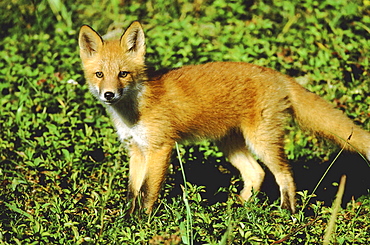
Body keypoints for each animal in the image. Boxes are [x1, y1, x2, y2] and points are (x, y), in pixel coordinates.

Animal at [79, 21, 370, 214]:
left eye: (123, 74)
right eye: (99, 75)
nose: (109, 94)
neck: (134, 113)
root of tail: (276, 74)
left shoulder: (160, 148)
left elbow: (148, 191)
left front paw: (143, 223)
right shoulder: (137, 150)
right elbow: (133, 191)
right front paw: (127, 221)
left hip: (261, 141)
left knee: (285, 174)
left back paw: (287, 213)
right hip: (230, 144)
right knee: (256, 173)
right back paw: (238, 210)